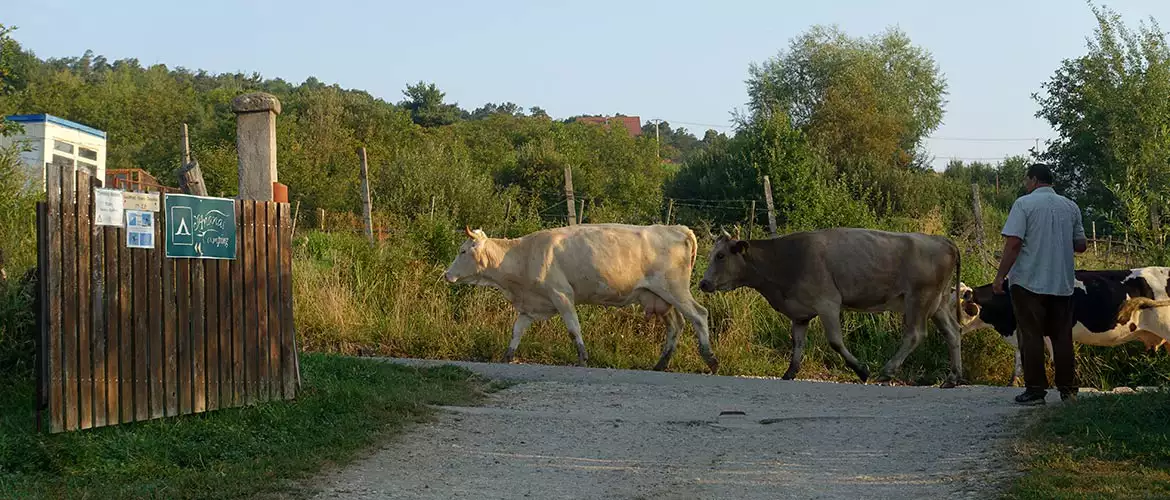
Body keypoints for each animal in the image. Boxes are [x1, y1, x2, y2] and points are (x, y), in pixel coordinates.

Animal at [439, 224, 716, 374]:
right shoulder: (530, 306)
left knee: (699, 315)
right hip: (658, 297)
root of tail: (678, 229)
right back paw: (661, 363)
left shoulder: (561, 295)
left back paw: (711, 359)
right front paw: (507, 357)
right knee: (677, 325)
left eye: (462, 251)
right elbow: (516, 332)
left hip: (675, 290)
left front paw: (582, 358)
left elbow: (574, 329)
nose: (447, 275)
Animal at [692, 227, 959, 388]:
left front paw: (861, 370)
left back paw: (887, 370)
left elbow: (835, 341)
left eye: (721, 256)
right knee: (952, 332)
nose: (703, 283)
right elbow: (797, 343)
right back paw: (953, 378)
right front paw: (790, 372)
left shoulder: (828, 303)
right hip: (939, 303)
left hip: (919, 298)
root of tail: (941, 239)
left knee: (915, 334)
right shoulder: (800, 313)